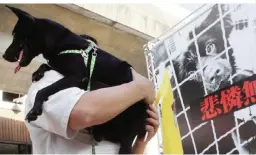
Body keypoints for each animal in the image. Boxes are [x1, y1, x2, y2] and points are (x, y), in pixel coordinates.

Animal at [2, 5, 147, 154]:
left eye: (15, 35)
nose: (4, 55)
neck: (59, 42)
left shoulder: (76, 75)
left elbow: (44, 89)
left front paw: (35, 108)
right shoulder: (60, 66)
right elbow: (46, 66)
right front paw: (38, 72)